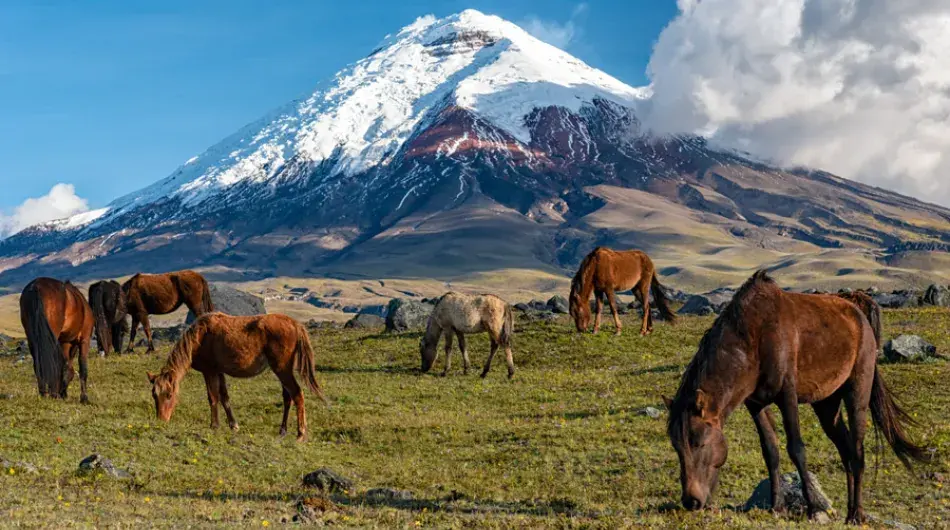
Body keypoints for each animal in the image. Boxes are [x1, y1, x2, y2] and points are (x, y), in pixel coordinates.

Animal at [147, 313, 326, 441]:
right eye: (154, 395)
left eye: (169, 395)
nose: (161, 420)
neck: (200, 336)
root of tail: (296, 324)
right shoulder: (219, 372)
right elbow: (224, 397)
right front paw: (233, 425)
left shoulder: (209, 371)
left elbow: (213, 397)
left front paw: (214, 425)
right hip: (282, 370)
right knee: (288, 397)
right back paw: (282, 431)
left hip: (282, 369)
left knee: (297, 394)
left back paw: (300, 433)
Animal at [664, 271, 928, 524]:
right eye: (676, 446)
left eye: (699, 443)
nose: (691, 501)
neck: (754, 339)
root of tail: (857, 309)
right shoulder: (755, 404)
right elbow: (770, 451)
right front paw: (777, 507)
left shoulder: (787, 396)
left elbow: (797, 449)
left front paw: (813, 509)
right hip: (826, 404)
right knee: (845, 450)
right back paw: (849, 512)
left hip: (857, 393)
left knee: (857, 451)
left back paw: (857, 514)